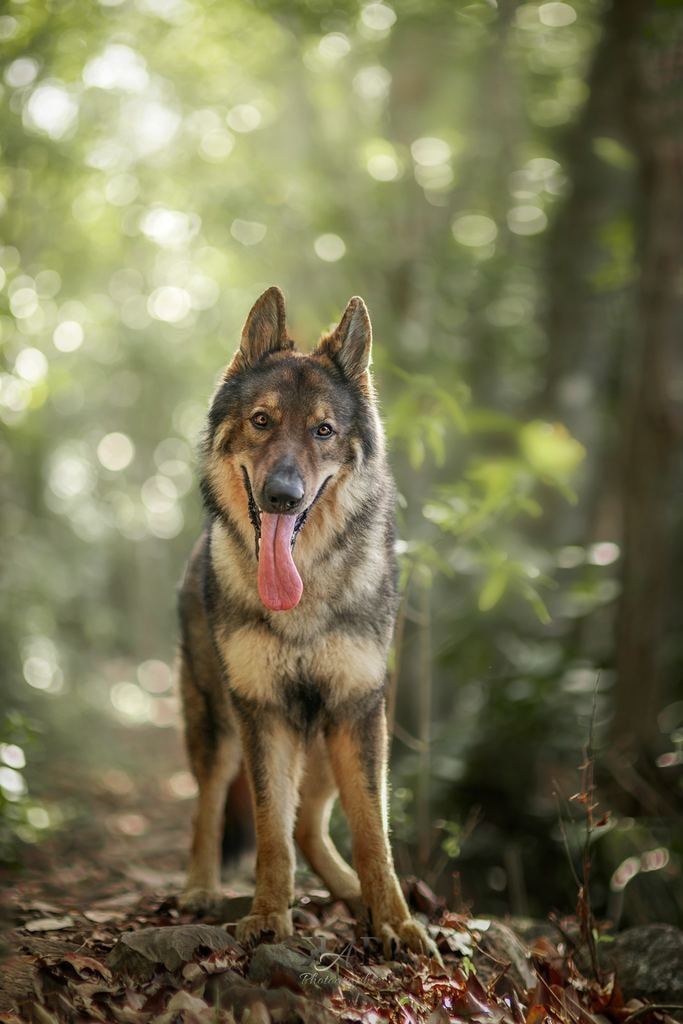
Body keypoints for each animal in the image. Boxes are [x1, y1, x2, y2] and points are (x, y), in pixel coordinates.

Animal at [175, 284, 432, 954]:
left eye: (323, 431)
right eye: (262, 420)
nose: (282, 496)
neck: (305, 597)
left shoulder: (357, 711)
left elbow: (372, 831)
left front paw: (396, 922)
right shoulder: (262, 713)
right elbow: (269, 829)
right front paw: (269, 915)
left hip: (326, 743)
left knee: (312, 827)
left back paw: (351, 896)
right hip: (219, 726)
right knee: (211, 804)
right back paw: (199, 888)